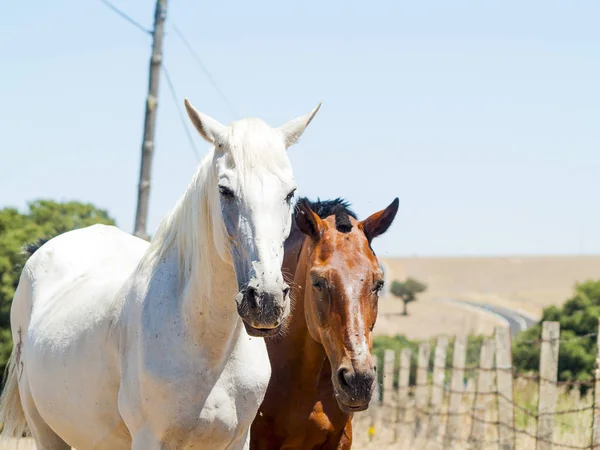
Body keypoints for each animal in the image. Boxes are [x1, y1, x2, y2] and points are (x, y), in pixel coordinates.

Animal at [0, 99, 322, 450]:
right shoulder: (149, 439)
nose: (266, 300)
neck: (208, 348)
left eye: (289, 193)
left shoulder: (238, 440)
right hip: (45, 430)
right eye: (225, 190)